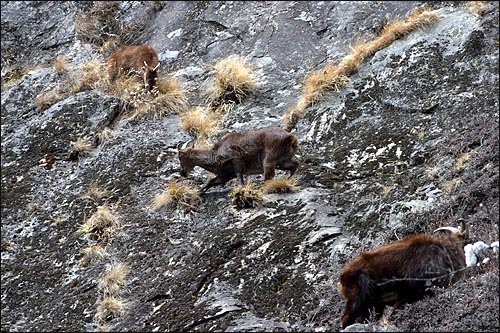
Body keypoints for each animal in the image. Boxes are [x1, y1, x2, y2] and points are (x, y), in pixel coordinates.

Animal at [338, 220, 470, 326]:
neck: (444, 250)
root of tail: (342, 278)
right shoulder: (409, 293)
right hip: (359, 298)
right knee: (346, 318)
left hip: (374, 305)